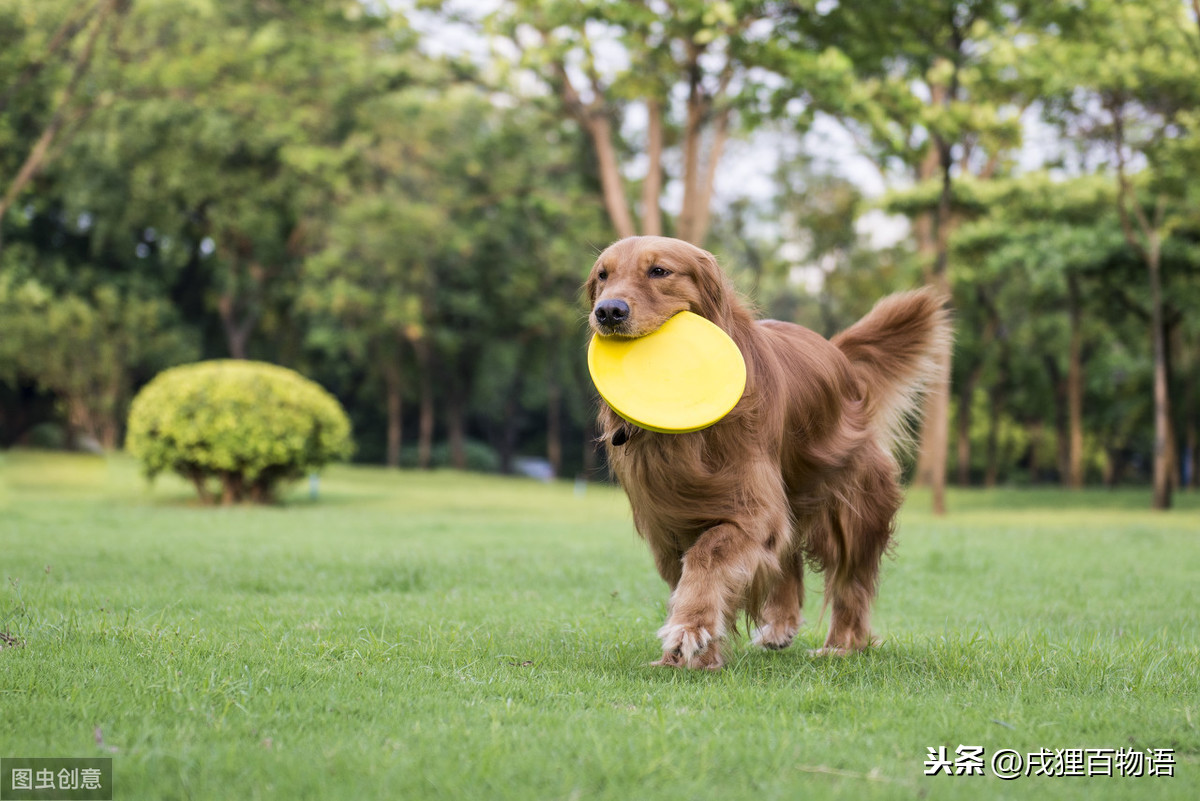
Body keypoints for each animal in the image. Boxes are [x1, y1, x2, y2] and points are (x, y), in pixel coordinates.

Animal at [585, 236, 950, 671]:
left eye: (659, 271)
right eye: (603, 275)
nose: (608, 311)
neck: (686, 440)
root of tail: (838, 354)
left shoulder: (753, 506)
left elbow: (708, 554)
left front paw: (690, 628)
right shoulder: (668, 523)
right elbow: (694, 573)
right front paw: (696, 652)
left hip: (849, 505)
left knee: (851, 580)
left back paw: (842, 643)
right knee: (788, 556)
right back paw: (781, 625)